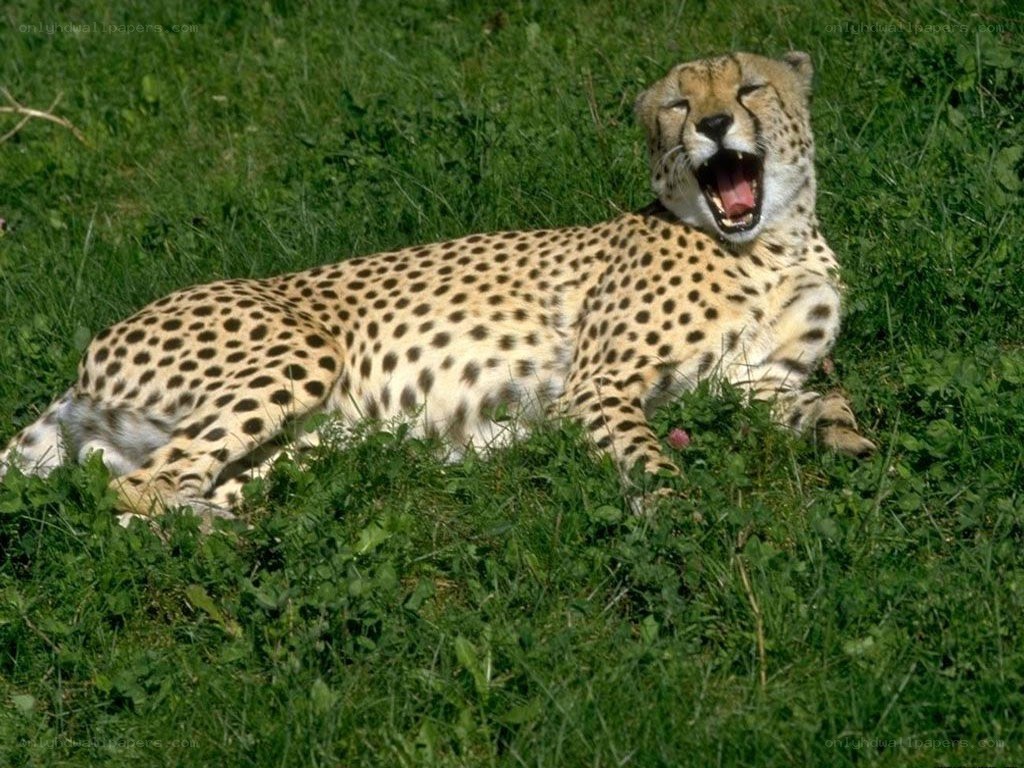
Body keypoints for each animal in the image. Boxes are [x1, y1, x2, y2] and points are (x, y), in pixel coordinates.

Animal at [0, 51, 875, 524]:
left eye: (750, 88)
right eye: (678, 104)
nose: (715, 126)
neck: (769, 244)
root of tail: (86, 360)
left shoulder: (756, 382)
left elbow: (825, 401)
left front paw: (856, 448)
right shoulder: (597, 385)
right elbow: (645, 450)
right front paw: (674, 508)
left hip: (309, 445)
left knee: (139, 495)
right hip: (296, 352)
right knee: (142, 488)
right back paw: (223, 537)